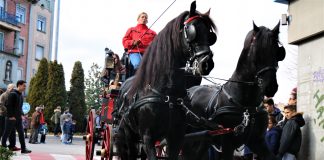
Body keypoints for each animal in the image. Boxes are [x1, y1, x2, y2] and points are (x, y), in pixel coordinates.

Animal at [114, 1, 218, 160]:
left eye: (210, 35)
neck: (167, 93)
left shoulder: (176, 137)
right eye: (192, 31)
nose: (207, 63)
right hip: (128, 135)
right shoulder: (148, 137)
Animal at [182, 22, 286, 160]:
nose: (271, 87)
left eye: (278, 52)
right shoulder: (228, 143)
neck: (247, 106)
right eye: (257, 52)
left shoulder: (257, 141)